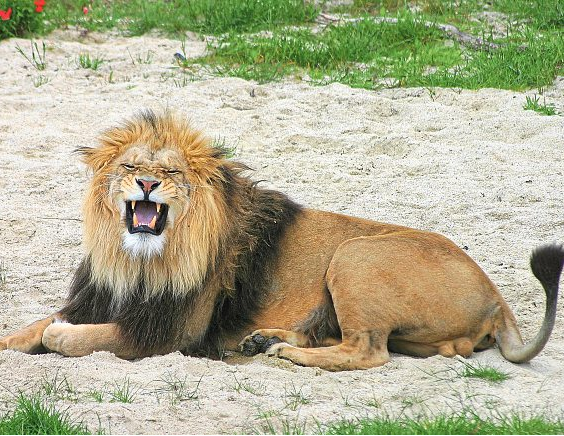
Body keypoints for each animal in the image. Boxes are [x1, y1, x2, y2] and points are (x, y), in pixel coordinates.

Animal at [1, 110, 564, 370]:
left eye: (170, 172)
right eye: (130, 167)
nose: (146, 184)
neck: (136, 260)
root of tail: (496, 298)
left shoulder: (173, 332)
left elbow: (85, 337)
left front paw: (63, 338)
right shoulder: (101, 296)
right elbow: (34, 326)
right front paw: (17, 340)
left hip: (356, 253)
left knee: (369, 352)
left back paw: (284, 353)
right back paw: (266, 340)